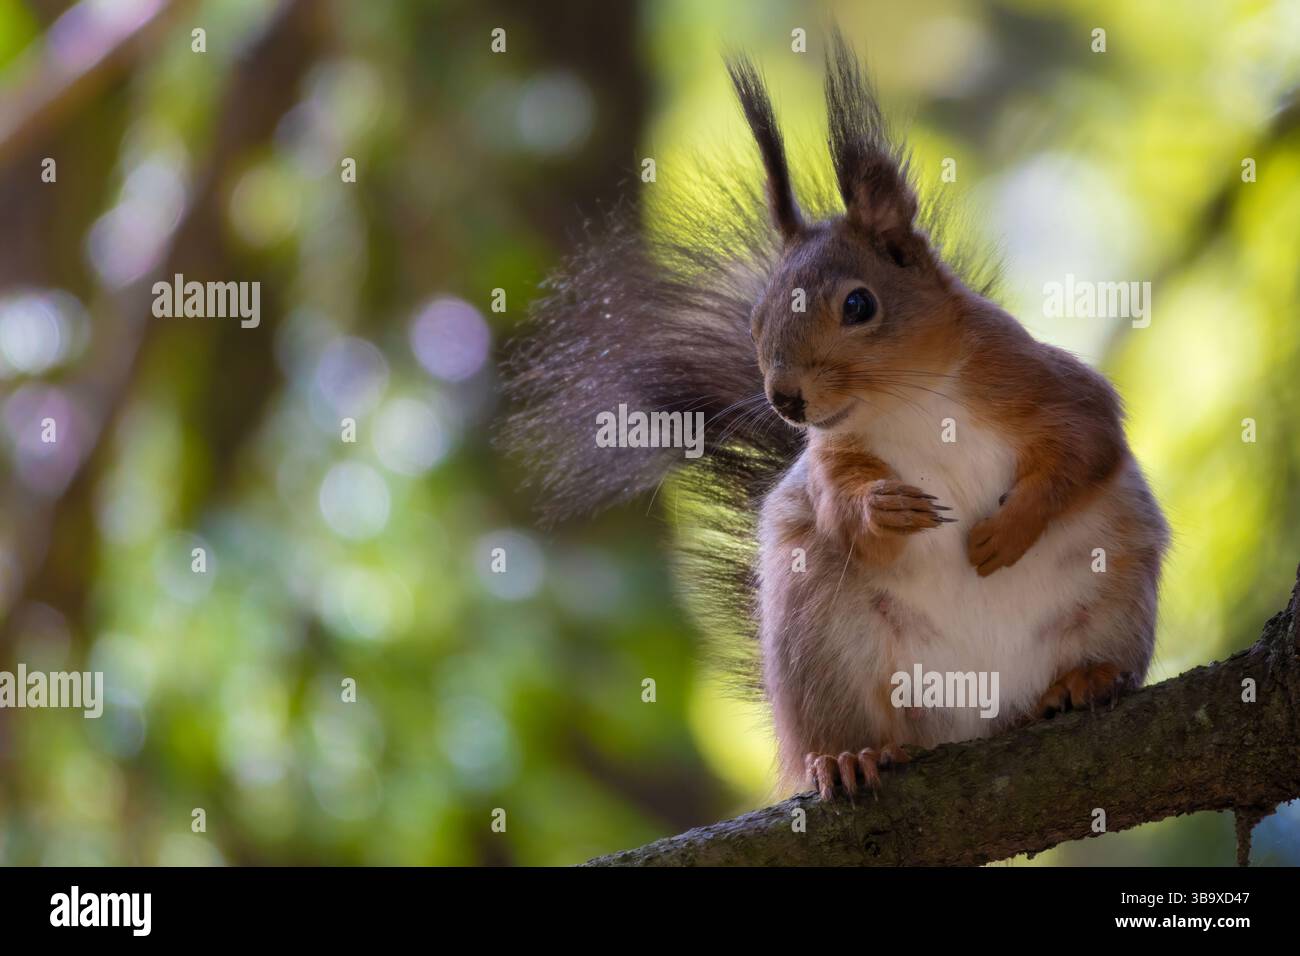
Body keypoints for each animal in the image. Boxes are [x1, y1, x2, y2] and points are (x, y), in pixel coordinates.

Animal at [502, 31, 1170, 800]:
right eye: (756, 319)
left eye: (859, 304)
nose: (785, 398)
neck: (908, 402)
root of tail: (976, 718)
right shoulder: (832, 455)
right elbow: (839, 507)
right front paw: (885, 509)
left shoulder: (1045, 384)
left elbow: (1086, 446)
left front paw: (1008, 530)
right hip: (821, 642)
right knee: (847, 721)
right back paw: (851, 756)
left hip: (1113, 589)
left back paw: (1085, 680)